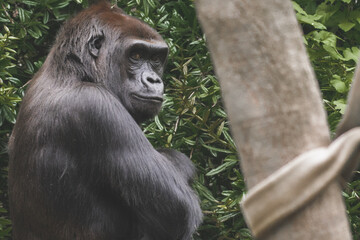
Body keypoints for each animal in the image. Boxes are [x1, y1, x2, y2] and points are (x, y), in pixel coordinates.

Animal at [7, 2, 202, 240]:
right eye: (136, 55)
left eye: (155, 59)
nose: (154, 80)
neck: (73, 71)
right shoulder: (98, 107)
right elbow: (177, 210)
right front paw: (178, 161)